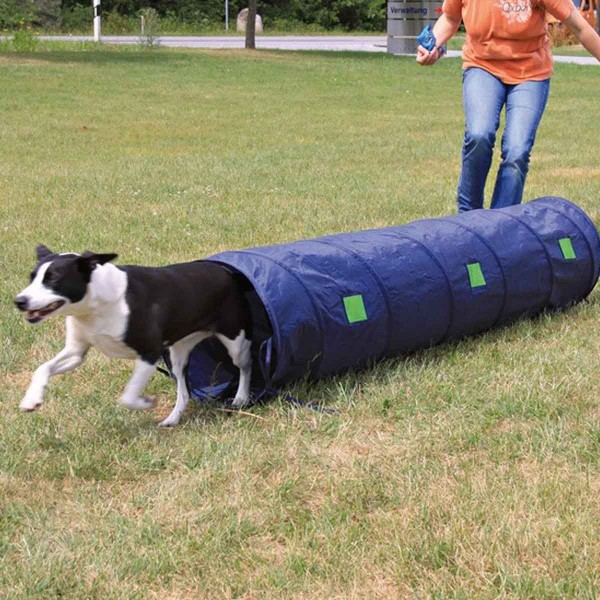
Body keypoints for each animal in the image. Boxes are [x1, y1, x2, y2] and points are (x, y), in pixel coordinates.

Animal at [14, 245, 253, 426]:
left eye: (53, 279)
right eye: (32, 278)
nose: (20, 301)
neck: (96, 305)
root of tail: (227, 273)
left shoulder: (150, 352)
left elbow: (128, 396)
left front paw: (146, 403)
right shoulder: (76, 352)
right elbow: (42, 368)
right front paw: (31, 399)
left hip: (235, 341)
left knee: (245, 366)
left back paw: (240, 397)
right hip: (178, 352)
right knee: (183, 392)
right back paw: (172, 419)